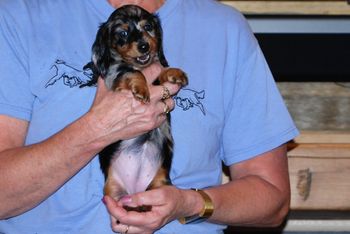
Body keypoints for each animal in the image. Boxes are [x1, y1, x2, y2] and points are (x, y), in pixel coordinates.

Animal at [82, 4, 187, 205]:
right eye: (122, 33)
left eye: (148, 27)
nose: (144, 45)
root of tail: (135, 190)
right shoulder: (115, 76)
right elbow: (132, 72)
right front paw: (141, 88)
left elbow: (161, 72)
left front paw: (175, 73)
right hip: (113, 191)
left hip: (159, 184)